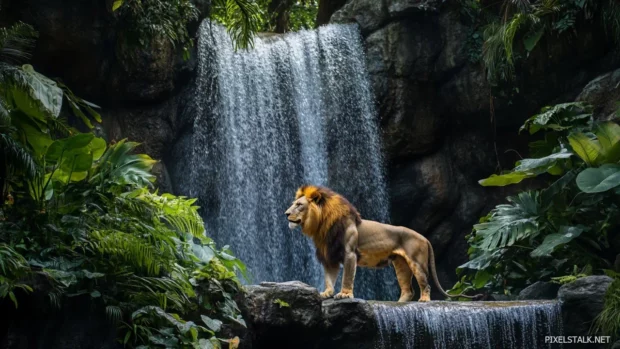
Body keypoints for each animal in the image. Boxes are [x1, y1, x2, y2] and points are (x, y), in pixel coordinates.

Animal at [284, 185, 482, 302]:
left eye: (299, 205)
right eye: (294, 204)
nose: (286, 213)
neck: (321, 226)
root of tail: (423, 236)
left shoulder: (349, 253)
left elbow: (347, 276)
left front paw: (345, 294)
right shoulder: (330, 256)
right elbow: (329, 277)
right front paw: (327, 293)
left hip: (417, 262)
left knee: (425, 283)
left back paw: (424, 300)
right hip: (400, 264)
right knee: (408, 289)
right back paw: (399, 303)